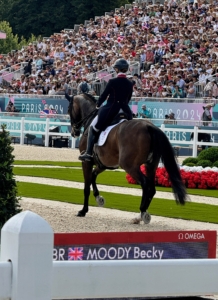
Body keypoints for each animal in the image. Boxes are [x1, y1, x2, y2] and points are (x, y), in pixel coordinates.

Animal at [68, 93, 187, 223]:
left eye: (69, 110)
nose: (74, 132)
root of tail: (148, 126)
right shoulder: (103, 164)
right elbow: (93, 177)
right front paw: (99, 198)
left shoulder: (86, 163)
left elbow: (86, 186)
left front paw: (83, 211)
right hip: (150, 165)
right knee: (152, 187)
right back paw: (140, 216)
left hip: (130, 166)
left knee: (145, 184)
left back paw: (142, 212)